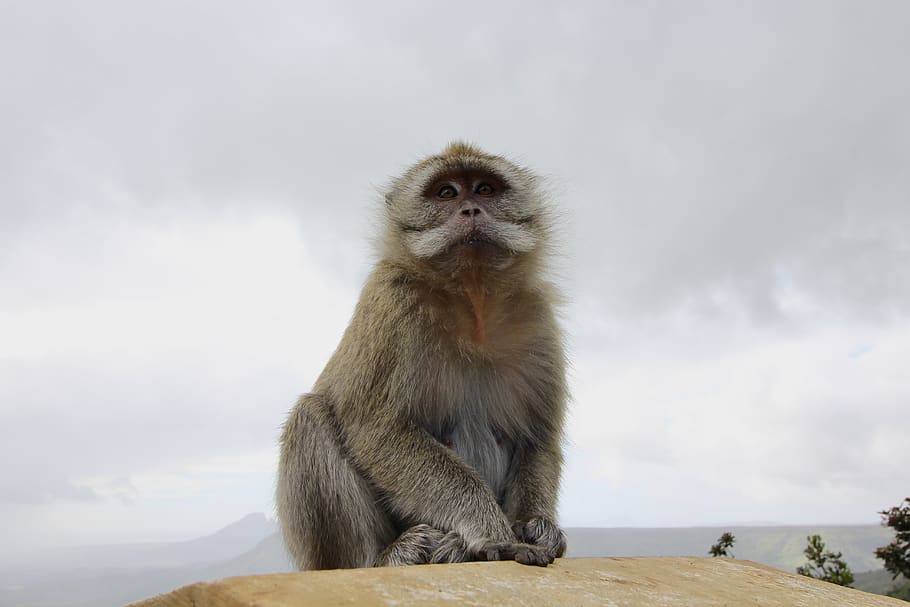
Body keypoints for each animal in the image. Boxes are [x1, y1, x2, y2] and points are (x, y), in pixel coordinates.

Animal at [276, 142, 568, 570]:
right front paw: (490, 528)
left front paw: (537, 526)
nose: (470, 211)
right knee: (309, 418)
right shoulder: (392, 301)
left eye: (484, 189)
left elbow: (536, 438)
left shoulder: (536, 316)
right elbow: (378, 429)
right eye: (446, 193)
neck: (471, 300)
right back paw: (387, 555)